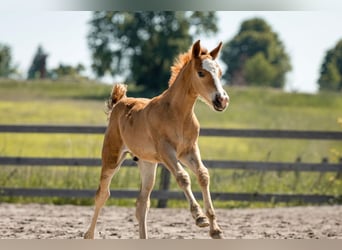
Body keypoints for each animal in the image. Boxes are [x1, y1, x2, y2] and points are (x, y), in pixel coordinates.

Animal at [84, 40, 230, 239]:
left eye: (220, 73)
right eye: (201, 73)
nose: (222, 100)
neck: (177, 114)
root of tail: (119, 102)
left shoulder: (189, 151)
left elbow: (203, 175)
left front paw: (215, 228)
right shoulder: (166, 152)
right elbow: (183, 177)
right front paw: (199, 217)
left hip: (147, 163)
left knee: (142, 203)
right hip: (112, 157)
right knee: (102, 194)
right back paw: (89, 235)